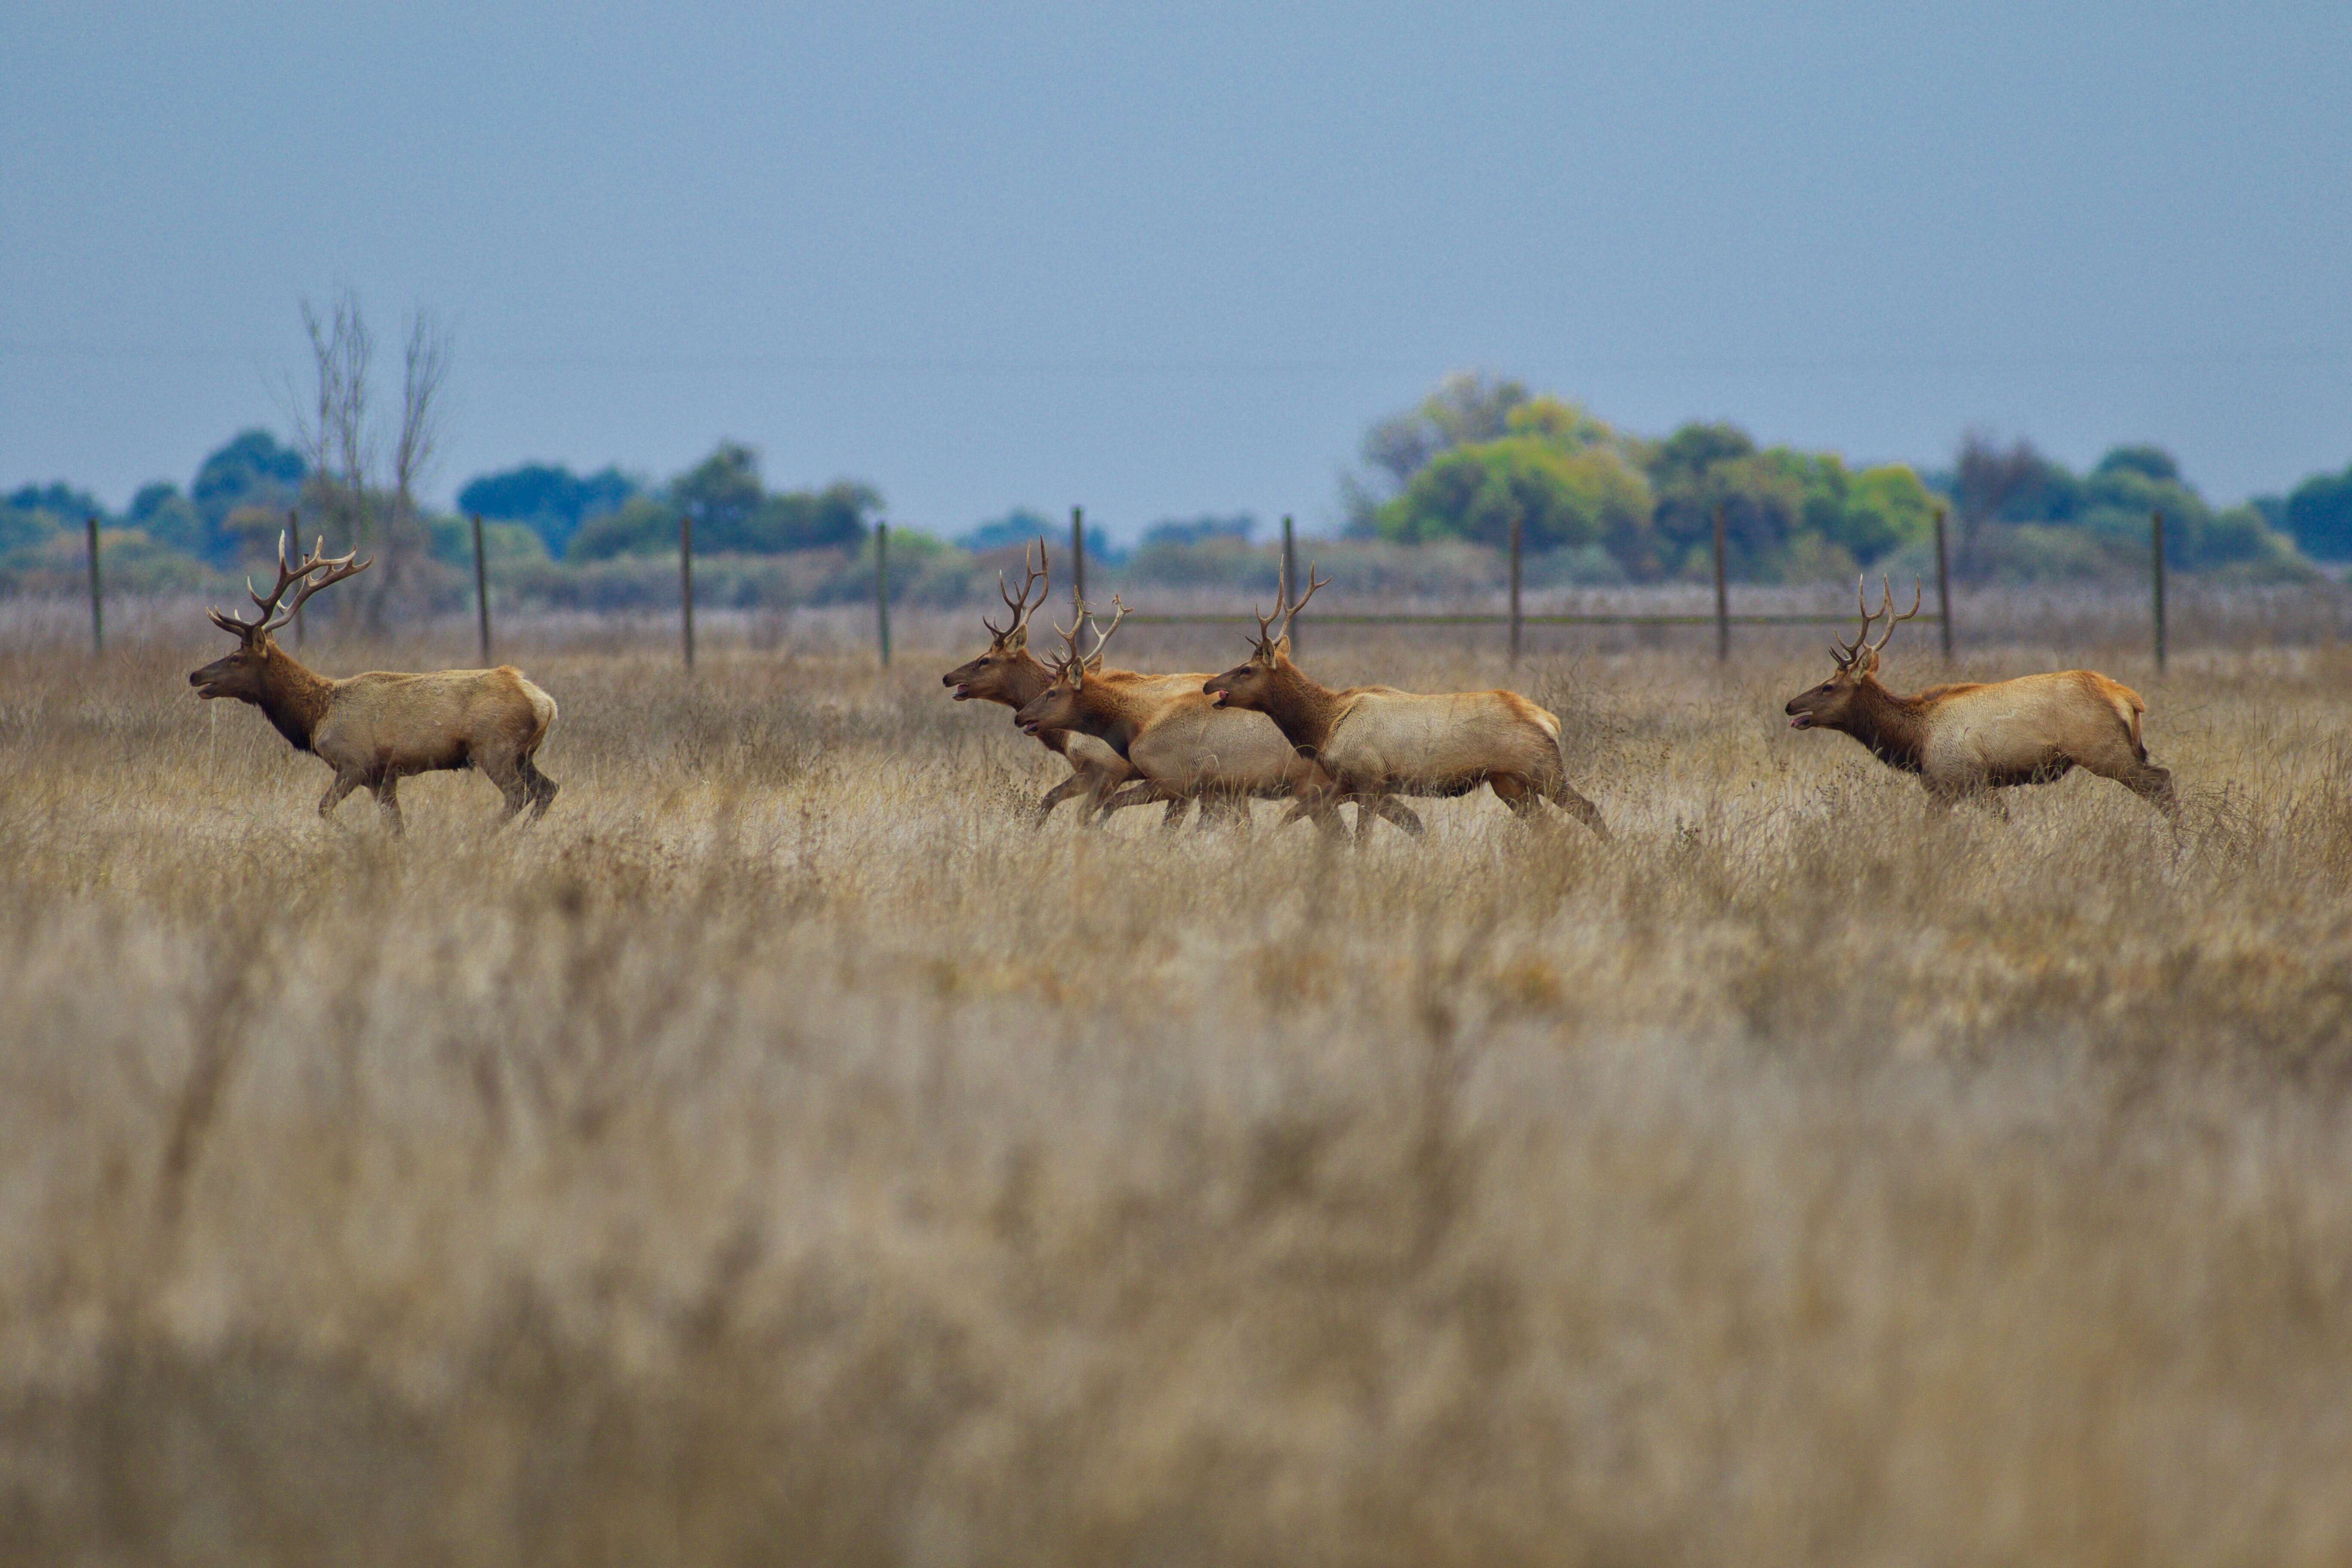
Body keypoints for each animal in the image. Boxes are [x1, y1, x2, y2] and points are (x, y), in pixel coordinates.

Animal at [188, 533, 560, 832]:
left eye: (236, 658)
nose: (195, 675)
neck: (316, 716)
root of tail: (546, 704)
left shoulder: (355, 763)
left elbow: (323, 809)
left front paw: (352, 837)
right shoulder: (383, 777)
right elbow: (396, 826)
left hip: (494, 748)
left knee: (519, 794)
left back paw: (482, 835)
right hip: (523, 753)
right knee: (548, 789)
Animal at [1016, 594, 1430, 832]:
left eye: (1052, 691)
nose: (1020, 717)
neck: (1137, 724)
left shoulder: (1175, 781)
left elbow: (1112, 813)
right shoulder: (1212, 789)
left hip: (1323, 788)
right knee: (1408, 819)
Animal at [1204, 567, 1608, 846]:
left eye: (1245, 669)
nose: (1210, 685)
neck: (1323, 727)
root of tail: (1549, 720)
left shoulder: (1367, 780)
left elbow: (1361, 840)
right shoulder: (1353, 785)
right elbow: (1295, 817)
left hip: (1543, 769)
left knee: (1588, 809)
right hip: (1508, 783)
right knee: (1546, 825)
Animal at [1787, 580, 2173, 823]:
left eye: (1828, 687)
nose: (1790, 706)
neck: (1914, 741)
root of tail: (2130, 699)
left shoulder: (1964, 779)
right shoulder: (1946, 788)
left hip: (2104, 750)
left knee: (2162, 781)